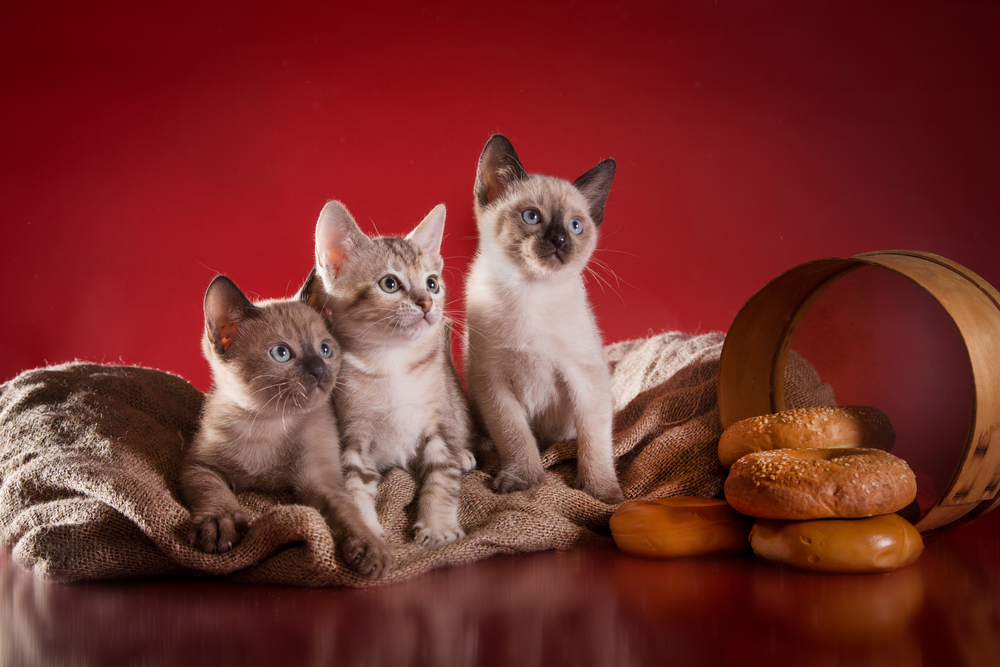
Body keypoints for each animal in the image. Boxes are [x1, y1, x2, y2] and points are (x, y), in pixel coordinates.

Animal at [180, 276, 394, 580]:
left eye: (325, 349)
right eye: (281, 354)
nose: (319, 371)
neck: (269, 423)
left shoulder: (321, 483)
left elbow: (349, 513)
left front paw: (372, 548)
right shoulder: (198, 466)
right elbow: (213, 491)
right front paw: (221, 523)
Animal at [300, 201, 476, 552]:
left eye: (432, 283)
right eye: (390, 284)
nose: (427, 303)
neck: (391, 363)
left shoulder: (438, 425)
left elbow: (441, 477)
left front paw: (438, 527)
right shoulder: (353, 439)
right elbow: (353, 488)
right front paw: (368, 533)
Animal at [462, 133, 624, 504]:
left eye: (575, 226)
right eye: (532, 217)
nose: (560, 240)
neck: (530, 294)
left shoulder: (585, 378)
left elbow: (595, 442)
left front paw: (602, 493)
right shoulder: (491, 381)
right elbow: (515, 436)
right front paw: (524, 480)